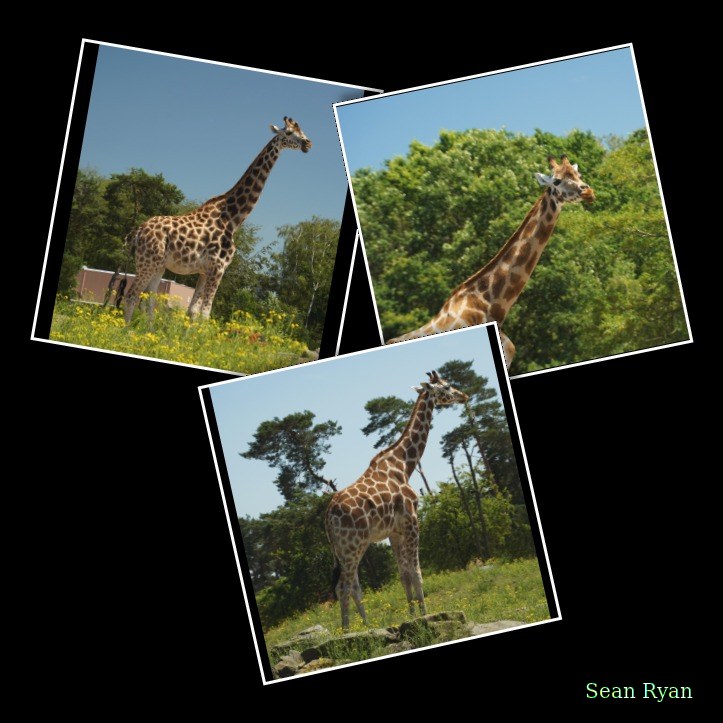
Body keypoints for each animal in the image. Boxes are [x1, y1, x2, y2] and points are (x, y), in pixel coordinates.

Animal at [122, 117, 312, 323]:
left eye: (301, 131)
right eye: (289, 133)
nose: (308, 144)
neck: (233, 218)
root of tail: (138, 231)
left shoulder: (204, 271)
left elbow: (192, 311)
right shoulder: (218, 268)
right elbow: (205, 314)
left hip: (159, 265)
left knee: (149, 299)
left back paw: (147, 329)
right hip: (148, 262)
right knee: (131, 295)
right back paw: (127, 330)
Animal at [325, 370, 468, 630]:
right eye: (447, 387)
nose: (464, 396)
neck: (404, 464)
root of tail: (327, 518)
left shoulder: (395, 531)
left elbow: (404, 575)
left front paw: (412, 615)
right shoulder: (412, 521)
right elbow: (417, 571)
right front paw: (426, 614)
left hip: (345, 549)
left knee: (353, 586)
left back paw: (367, 626)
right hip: (353, 545)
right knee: (344, 587)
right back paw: (347, 631)